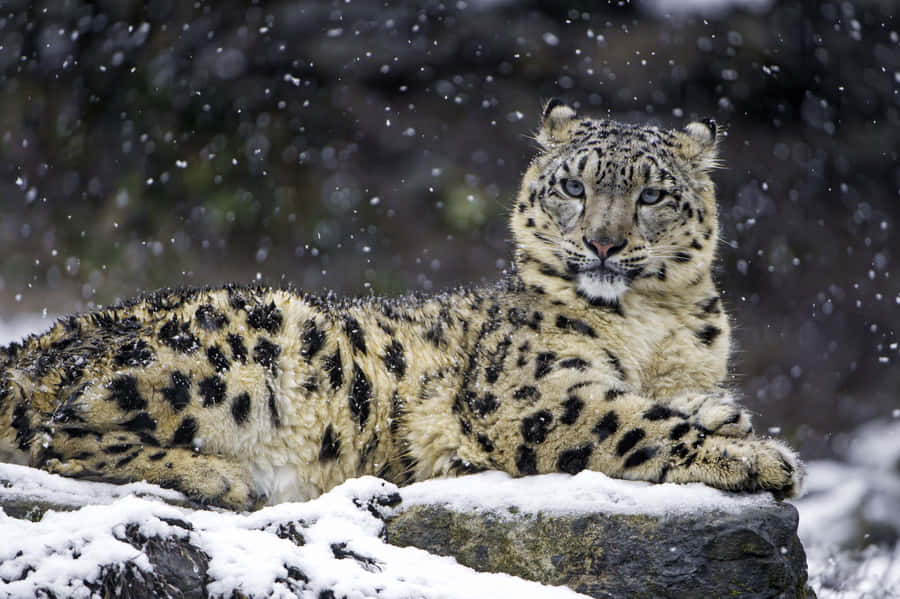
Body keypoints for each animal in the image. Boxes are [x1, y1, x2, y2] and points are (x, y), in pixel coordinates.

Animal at [0, 100, 803, 510]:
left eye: (653, 194)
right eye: (573, 186)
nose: (603, 244)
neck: (654, 326)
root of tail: (33, 343)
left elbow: (667, 401)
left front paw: (726, 414)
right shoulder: (529, 390)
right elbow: (633, 422)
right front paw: (757, 458)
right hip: (237, 349)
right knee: (57, 435)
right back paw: (217, 476)